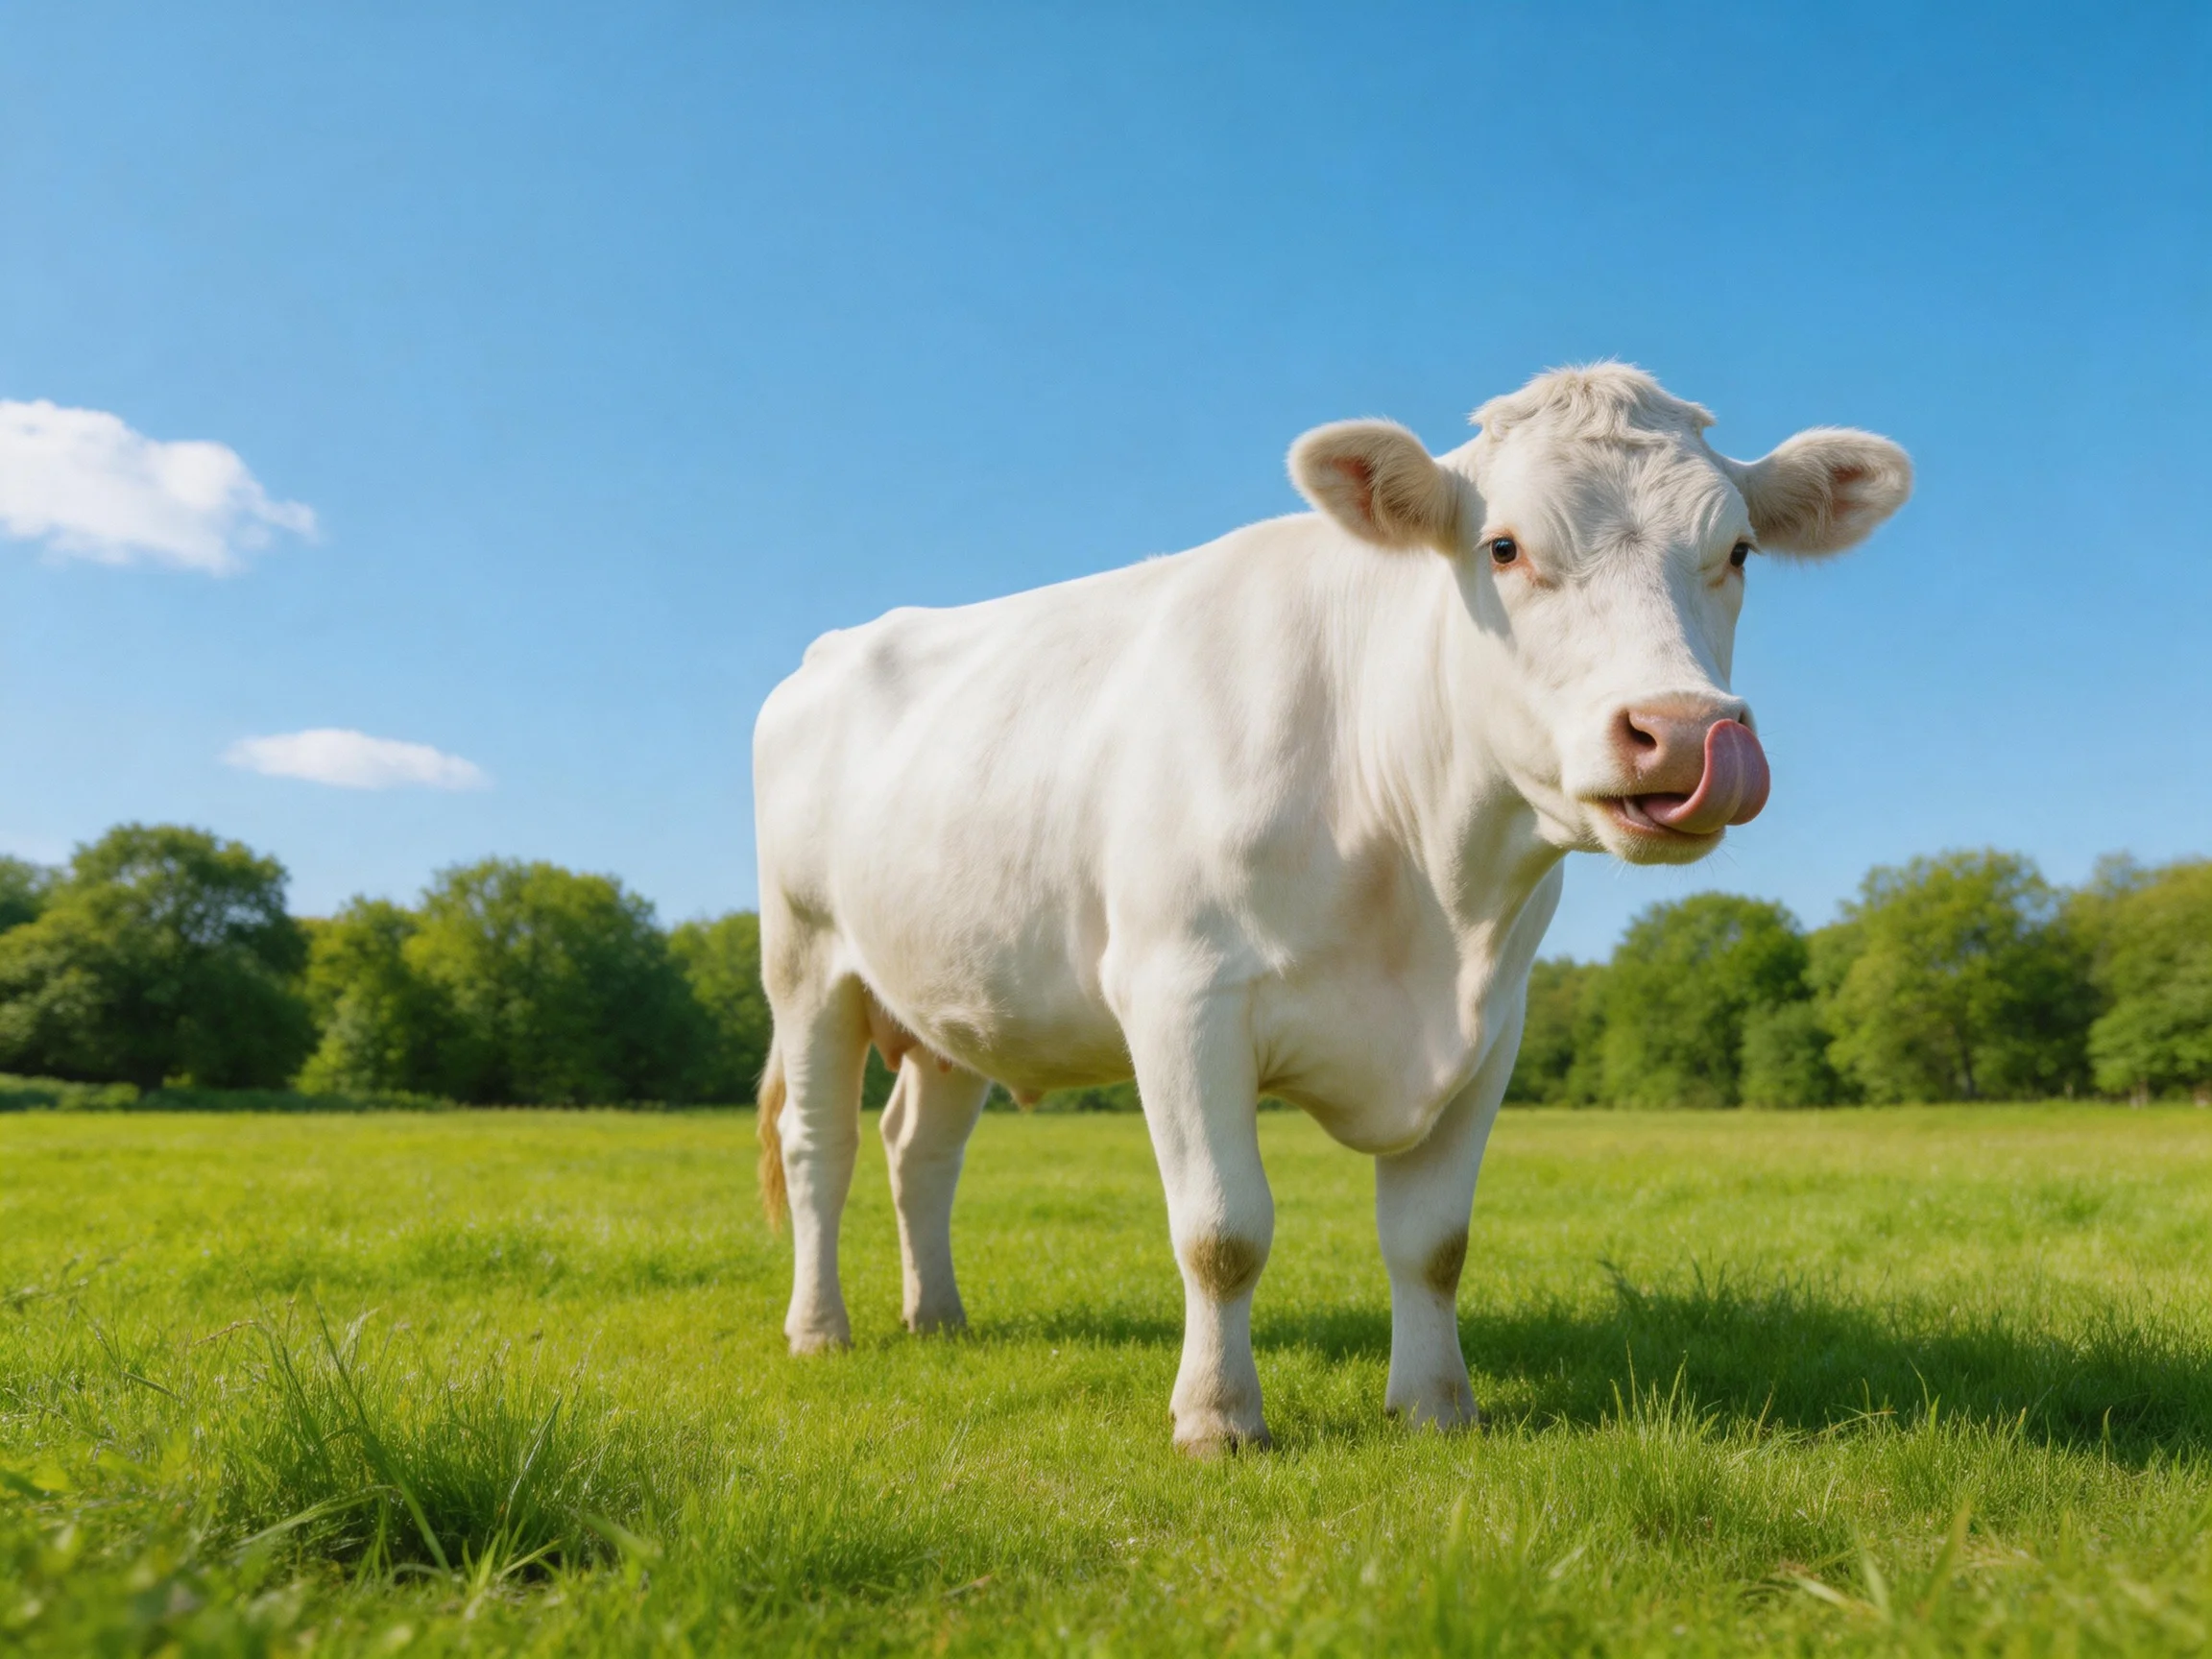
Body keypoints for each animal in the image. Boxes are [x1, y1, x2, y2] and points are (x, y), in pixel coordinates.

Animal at [750, 364, 1910, 1454]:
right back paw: (819, 1328)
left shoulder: (1494, 1029)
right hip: (806, 963)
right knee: (821, 1147)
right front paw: (1219, 1419)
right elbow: (1222, 1231)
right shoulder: (1180, 997)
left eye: (1739, 551)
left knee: (920, 1152)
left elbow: (1434, 1242)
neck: (1432, 901)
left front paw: (1437, 1407)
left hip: (951, 998)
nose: (1683, 734)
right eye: (1502, 546)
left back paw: (937, 1316)